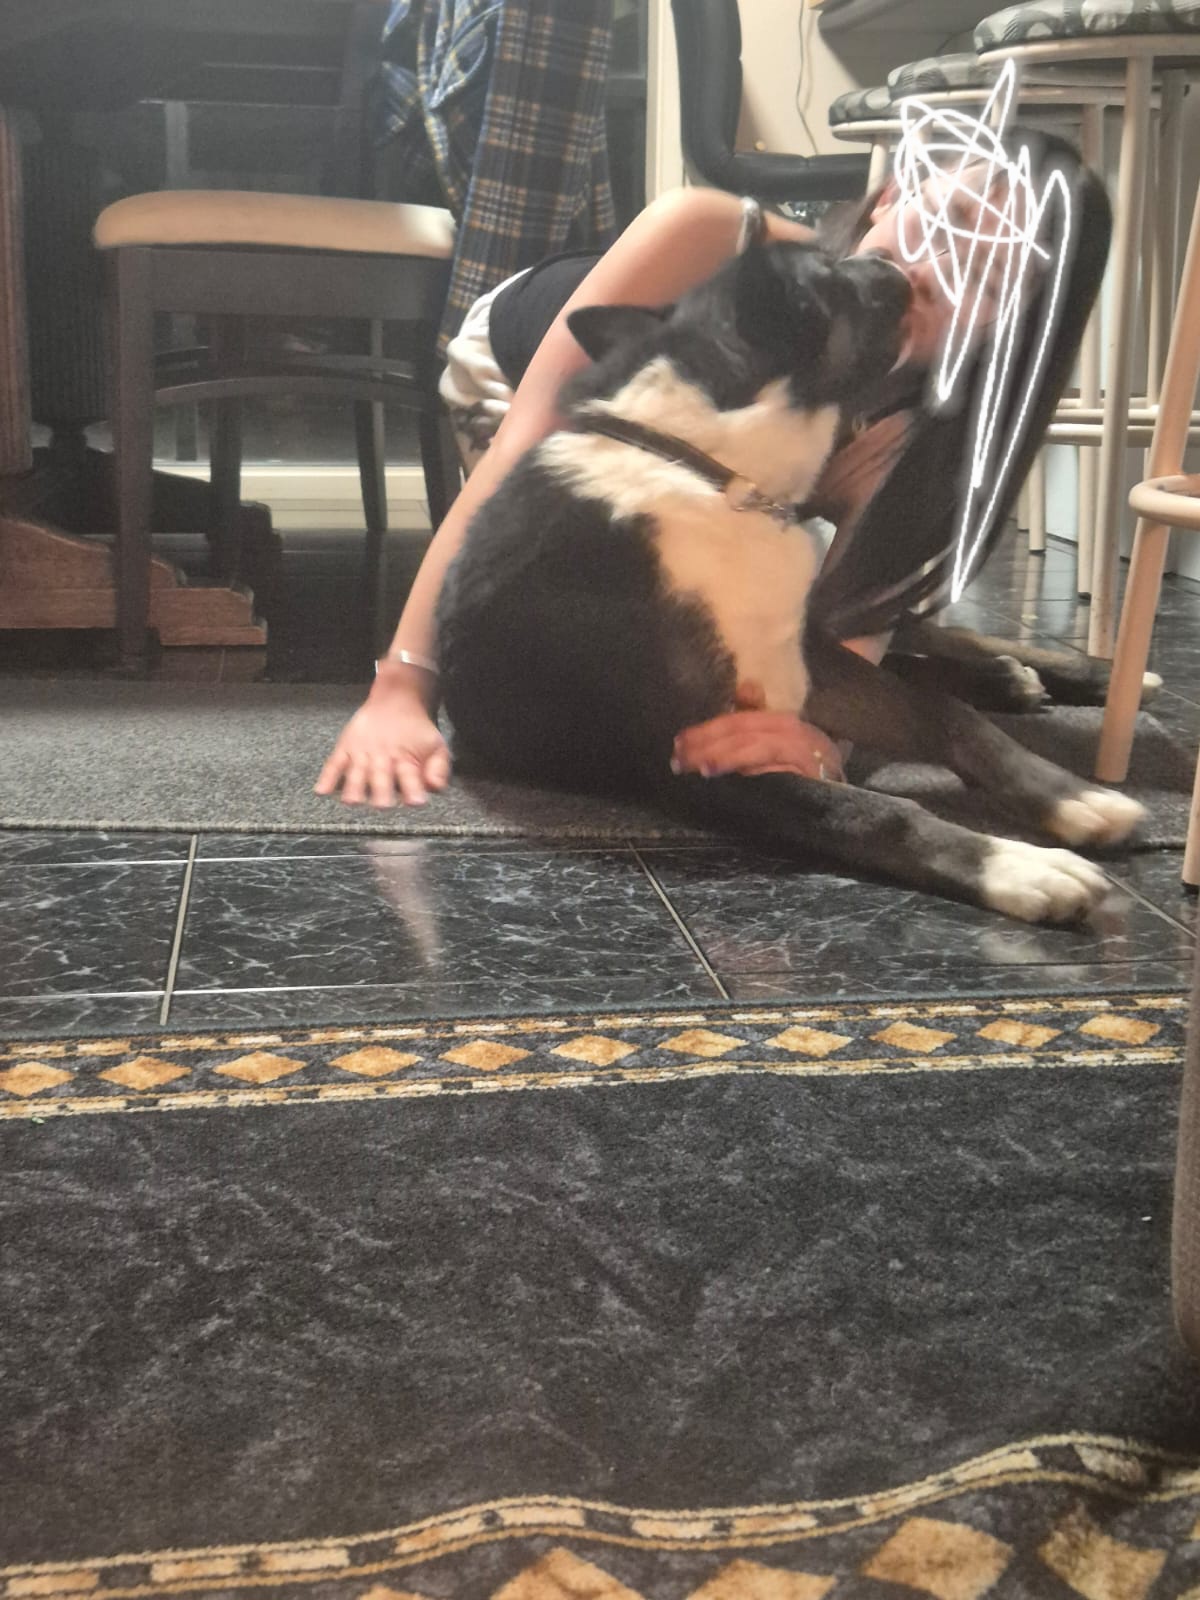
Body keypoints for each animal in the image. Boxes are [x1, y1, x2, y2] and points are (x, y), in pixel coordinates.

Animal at [436, 240, 1143, 923]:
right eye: (827, 272)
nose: (891, 261)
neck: (712, 472)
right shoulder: (682, 754)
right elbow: (874, 811)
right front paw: (1018, 867)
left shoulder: (797, 656)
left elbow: (943, 717)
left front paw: (1074, 798)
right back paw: (1011, 680)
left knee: (939, 641)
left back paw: (1071, 673)